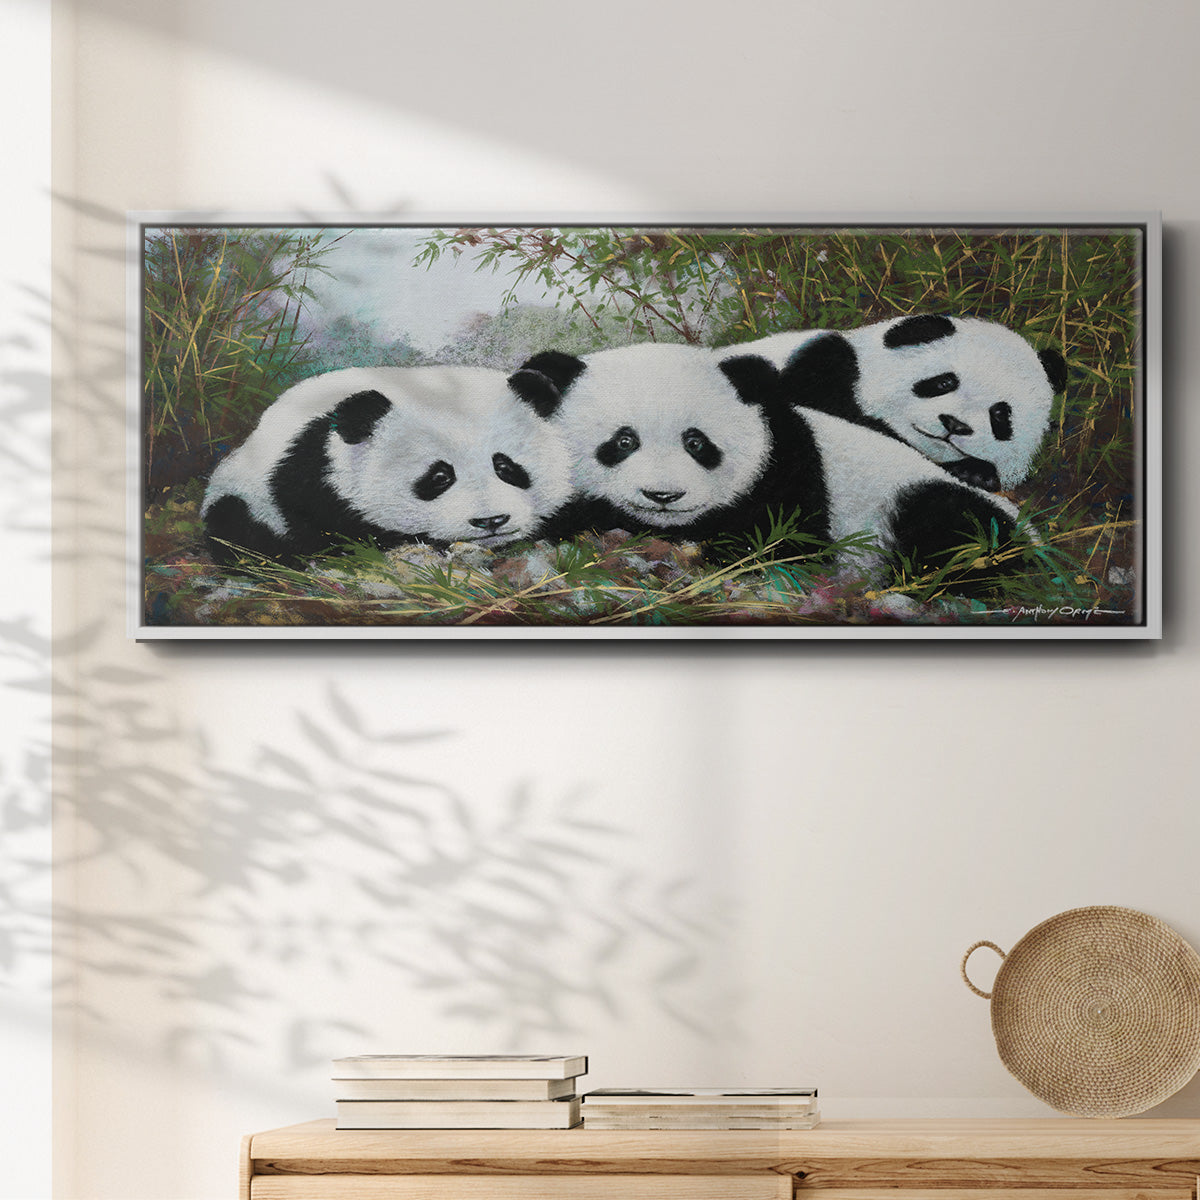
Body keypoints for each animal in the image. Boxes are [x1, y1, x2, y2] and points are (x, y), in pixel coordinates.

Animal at [201, 365, 571, 564]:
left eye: (506, 467)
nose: (490, 521)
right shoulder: (309, 477)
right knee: (236, 528)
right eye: (439, 477)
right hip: (242, 493)